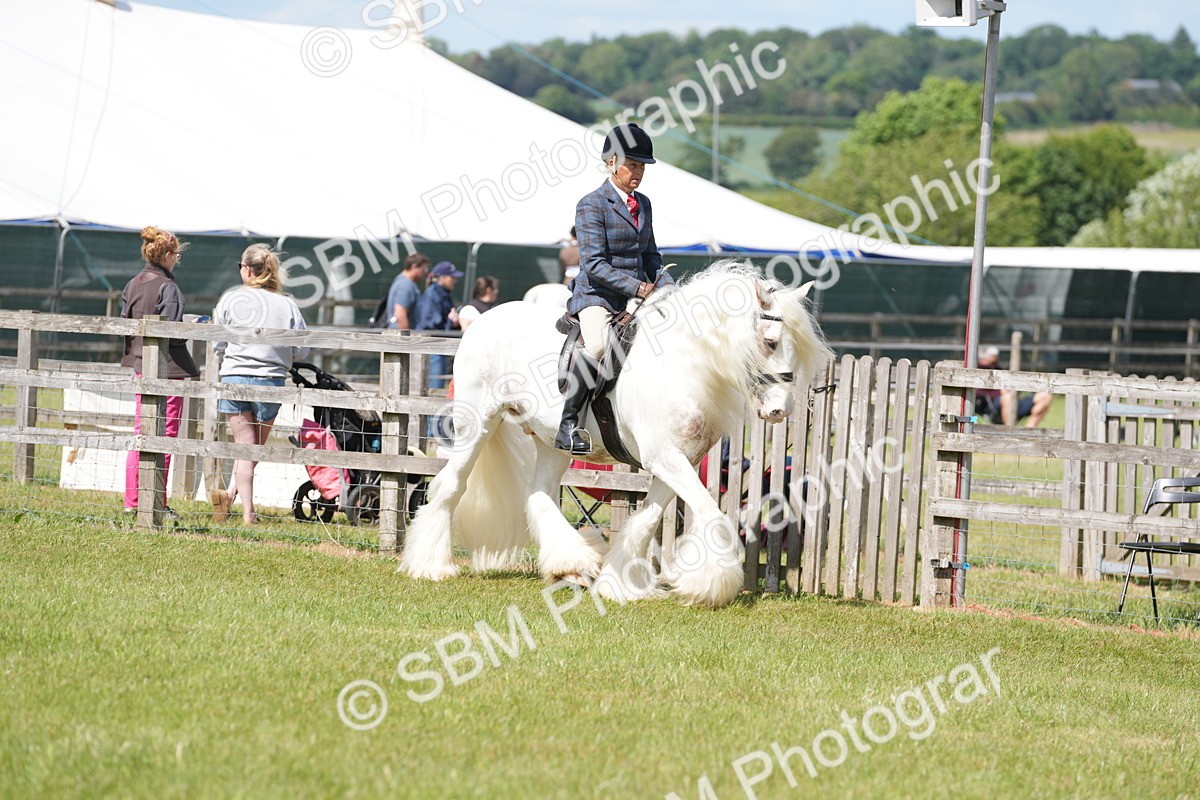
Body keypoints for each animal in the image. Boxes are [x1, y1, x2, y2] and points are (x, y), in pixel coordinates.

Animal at [399, 260, 830, 607]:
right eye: (770, 342)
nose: (780, 410)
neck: (682, 364)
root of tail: (481, 321)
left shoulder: (676, 461)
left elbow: (644, 522)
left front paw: (621, 584)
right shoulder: (667, 459)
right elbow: (710, 513)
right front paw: (707, 585)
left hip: (551, 442)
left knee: (538, 494)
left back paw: (572, 565)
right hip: (479, 423)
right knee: (451, 487)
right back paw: (430, 565)